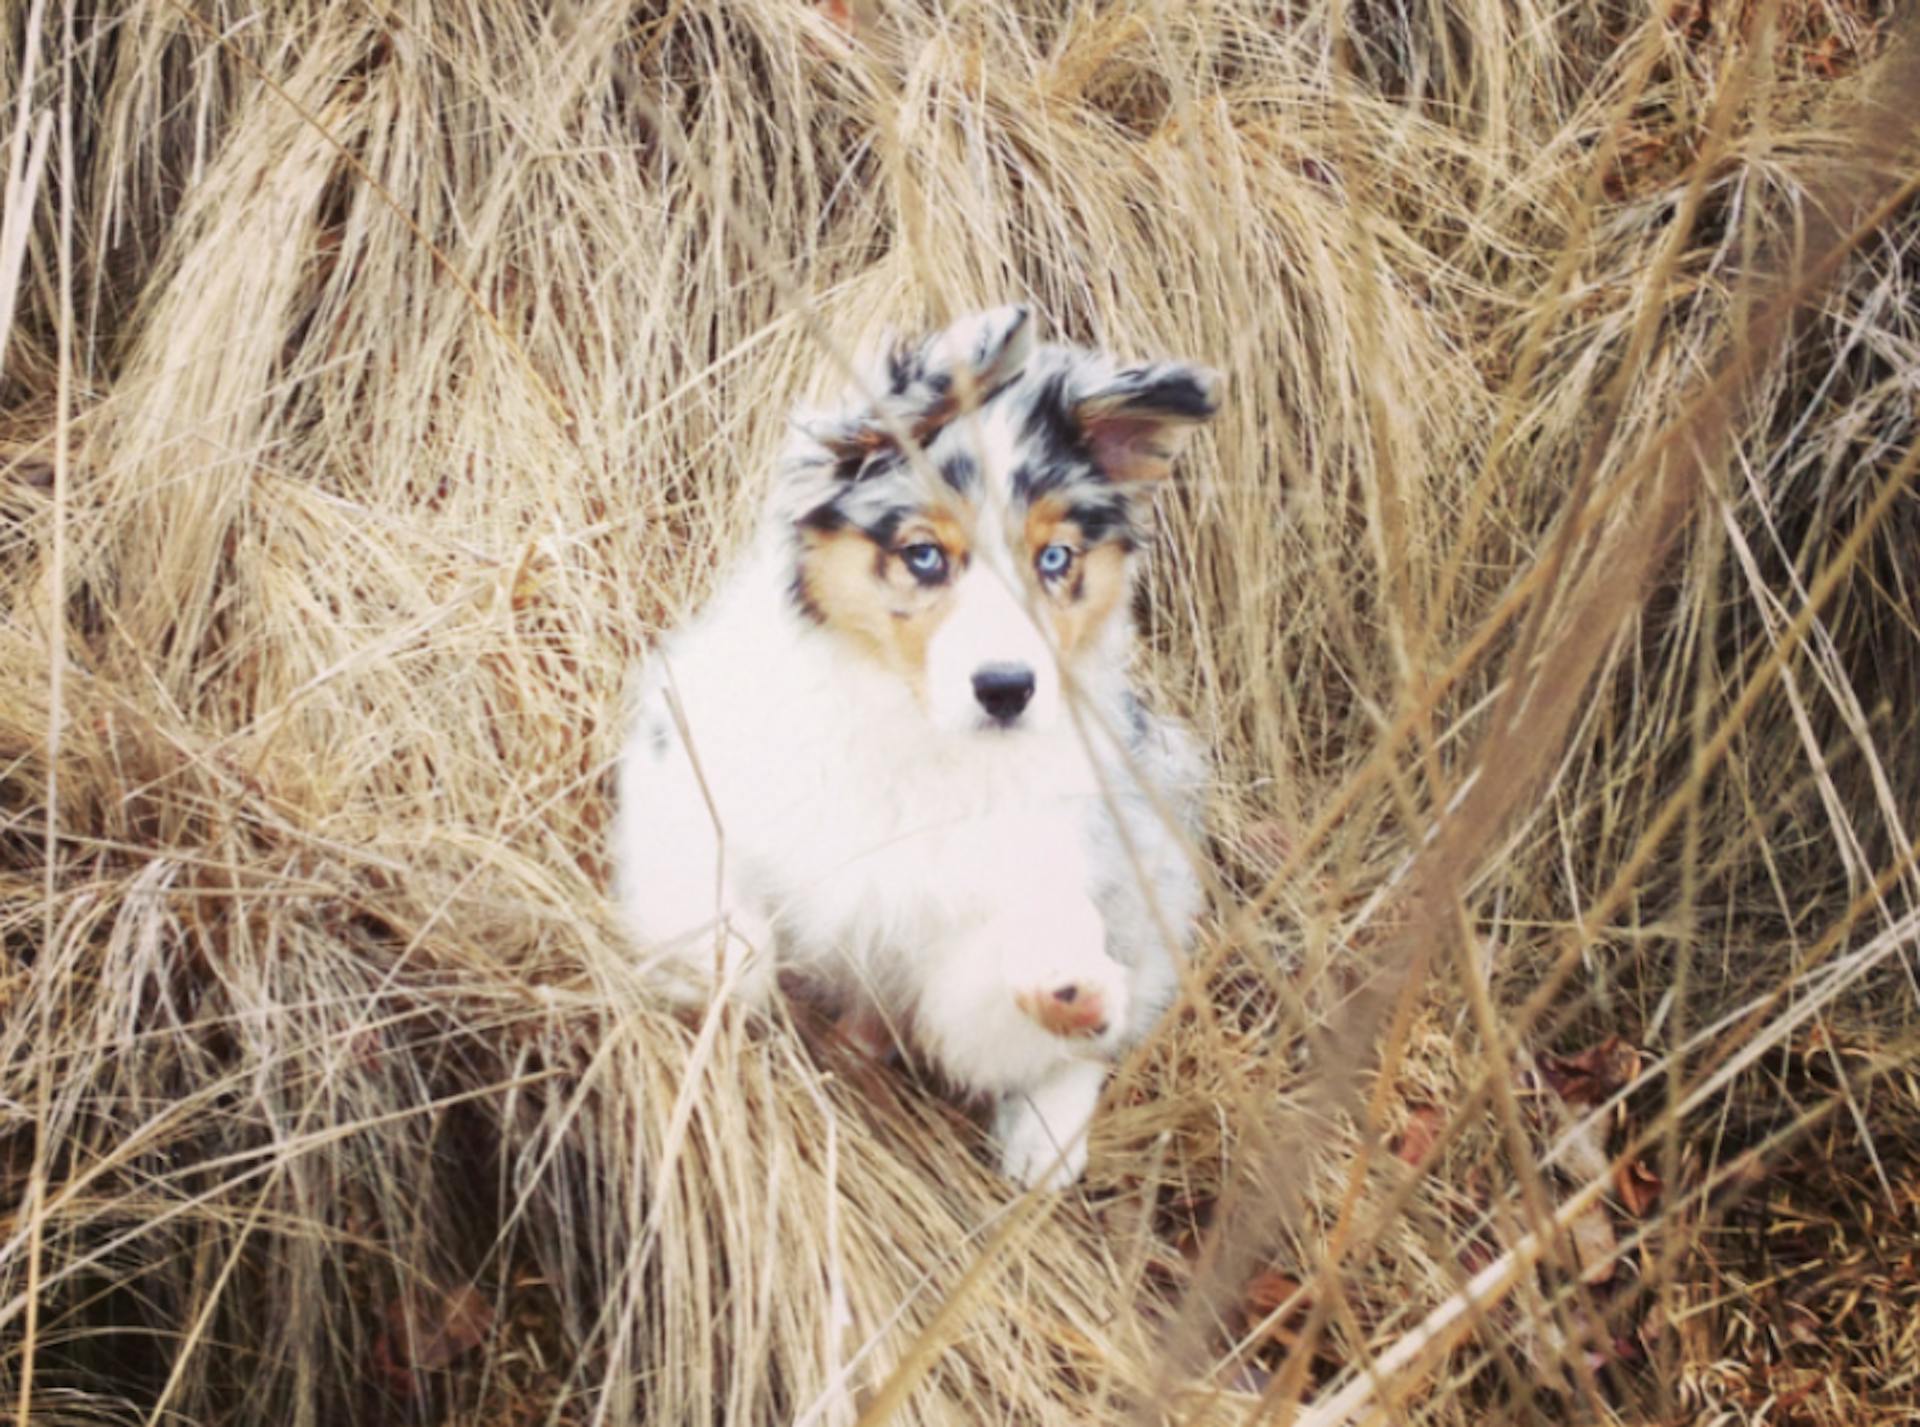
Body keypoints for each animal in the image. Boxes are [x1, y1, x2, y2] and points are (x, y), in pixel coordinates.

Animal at [610, 307, 1213, 1190]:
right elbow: (710, 893)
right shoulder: (685, 747)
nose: (1008, 688)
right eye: (924, 555)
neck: (912, 733)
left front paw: (1061, 983)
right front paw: (721, 963)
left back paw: (1048, 1130)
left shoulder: (977, 912)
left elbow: (989, 1007)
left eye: (1055, 558)